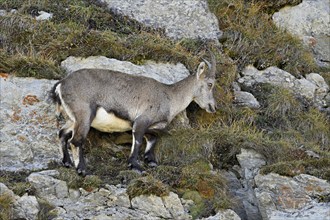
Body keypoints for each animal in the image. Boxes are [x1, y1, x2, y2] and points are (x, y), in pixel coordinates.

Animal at [49, 55, 217, 176]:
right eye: (210, 84)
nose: (213, 106)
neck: (169, 97)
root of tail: (61, 84)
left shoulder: (152, 126)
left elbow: (152, 139)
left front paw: (150, 160)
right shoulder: (141, 120)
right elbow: (137, 141)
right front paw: (135, 166)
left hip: (72, 118)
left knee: (62, 133)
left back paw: (67, 162)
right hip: (84, 115)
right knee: (75, 140)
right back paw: (82, 170)